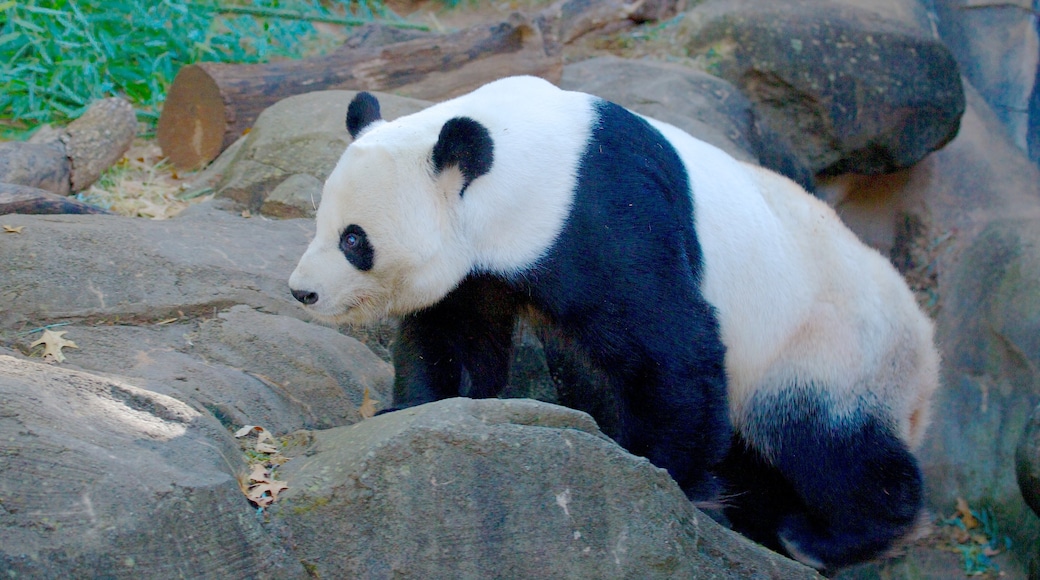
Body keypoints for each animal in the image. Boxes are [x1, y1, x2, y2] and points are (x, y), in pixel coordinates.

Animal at [289, 74, 940, 569]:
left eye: (354, 240)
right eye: (320, 222)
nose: (302, 291)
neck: (514, 158)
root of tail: (927, 355)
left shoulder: (600, 214)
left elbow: (672, 347)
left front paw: (664, 473)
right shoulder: (482, 263)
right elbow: (455, 330)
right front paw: (414, 406)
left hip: (830, 348)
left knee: (826, 442)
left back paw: (822, 536)